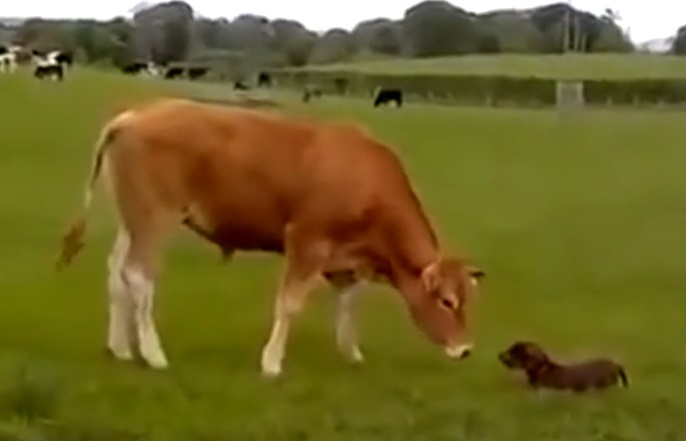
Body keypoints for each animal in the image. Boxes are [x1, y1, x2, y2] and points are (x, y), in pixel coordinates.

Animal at [56, 98, 485, 377]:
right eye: (447, 301)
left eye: (466, 300)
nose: (466, 349)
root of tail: (134, 116)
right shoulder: (307, 243)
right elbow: (290, 305)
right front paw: (272, 362)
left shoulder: (346, 260)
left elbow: (349, 304)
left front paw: (351, 353)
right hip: (154, 219)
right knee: (139, 277)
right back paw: (152, 353)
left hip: (133, 221)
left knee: (116, 273)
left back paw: (120, 348)